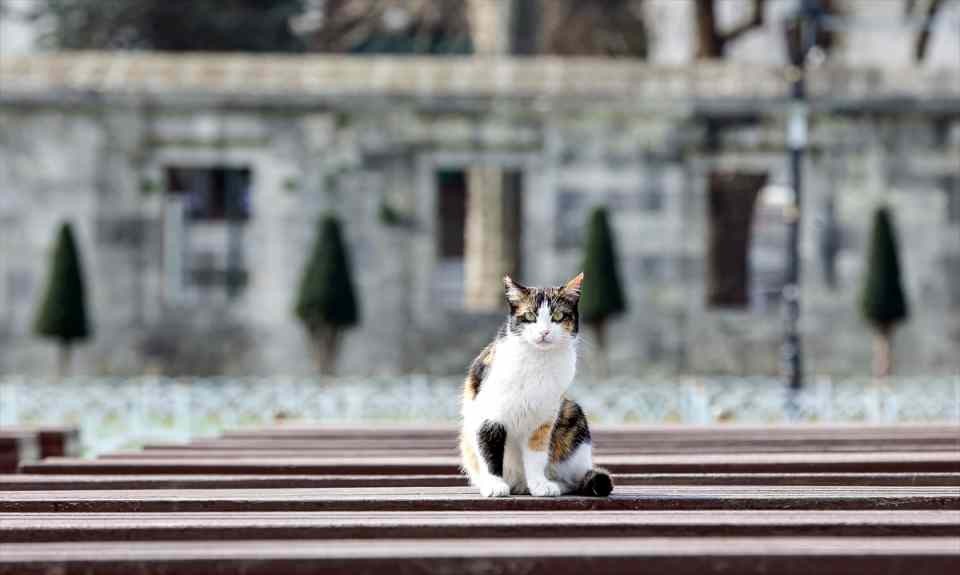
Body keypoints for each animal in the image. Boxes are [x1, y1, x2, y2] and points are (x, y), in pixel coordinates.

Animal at [460, 272, 612, 498]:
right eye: (530, 316)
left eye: (558, 316)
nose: (544, 332)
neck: (538, 361)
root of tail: (518, 484)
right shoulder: (489, 413)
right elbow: (489, 450)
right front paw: (495, 485)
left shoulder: (543, 419)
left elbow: (536, 453)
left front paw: (540, 484)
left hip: (571, 413)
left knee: (574, 480)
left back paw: (554, 484)